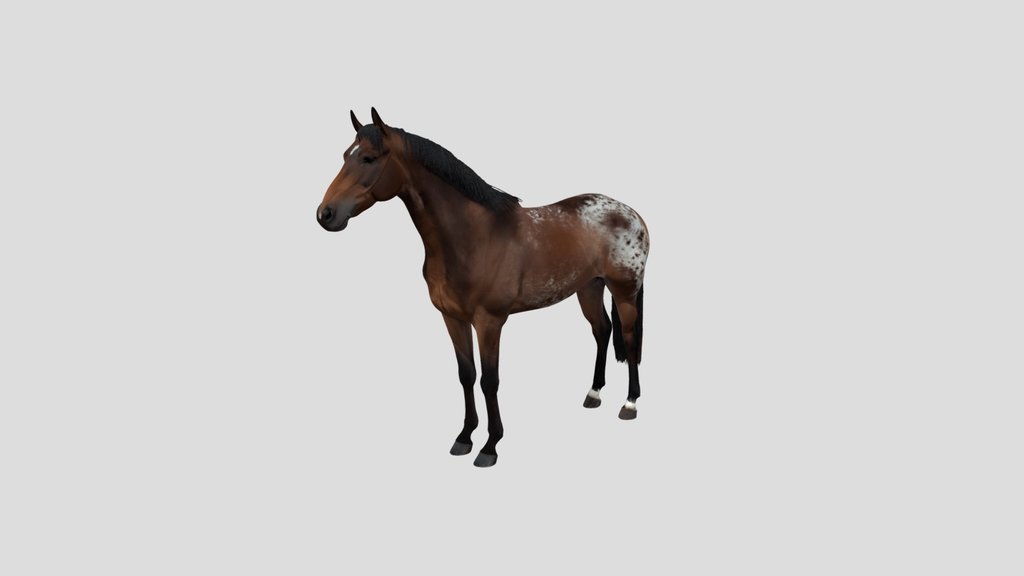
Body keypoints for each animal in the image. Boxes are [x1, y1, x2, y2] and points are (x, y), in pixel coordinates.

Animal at [316, 108, 649, 467]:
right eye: (345, 156)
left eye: (368, 158)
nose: (326, 214)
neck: (473, 237)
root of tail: (631, 213)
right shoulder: (453, 318)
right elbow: (467, 375)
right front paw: (464, 437)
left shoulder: (489, 322)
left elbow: (490, 380)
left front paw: (490, 446)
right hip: (588, 288)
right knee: (602, 331)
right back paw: (593, 393)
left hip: (625, 292)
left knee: (629, 340)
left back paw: (629, 403)